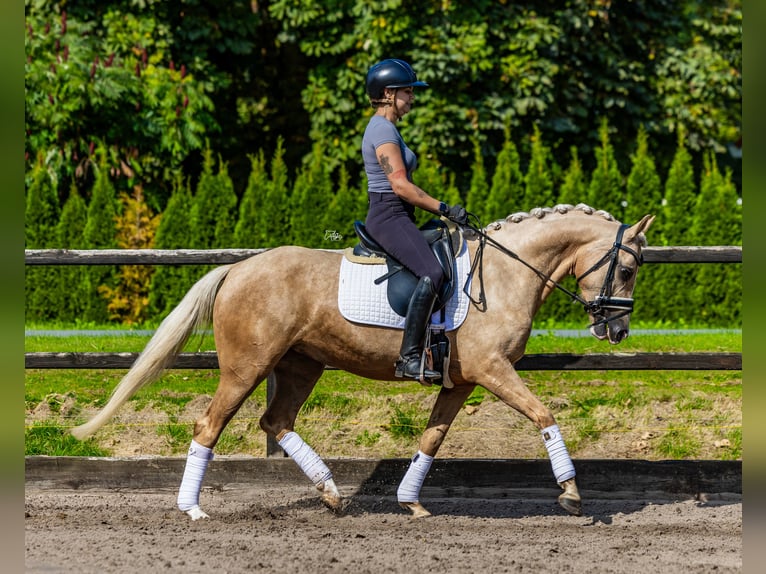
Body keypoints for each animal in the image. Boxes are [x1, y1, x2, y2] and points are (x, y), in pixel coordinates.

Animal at [75, 206, 656, 520]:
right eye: (627, 268)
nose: (617, 330)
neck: (505, 274)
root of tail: (239, 268)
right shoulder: (493, 371)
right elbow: (543, 415)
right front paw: (571, 493)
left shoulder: (462, 381)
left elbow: (432, 438)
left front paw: (410, 501)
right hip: (246, 368)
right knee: (209, 425)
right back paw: (192, 508)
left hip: (300, 365)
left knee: (276, 421)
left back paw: (332, 494)